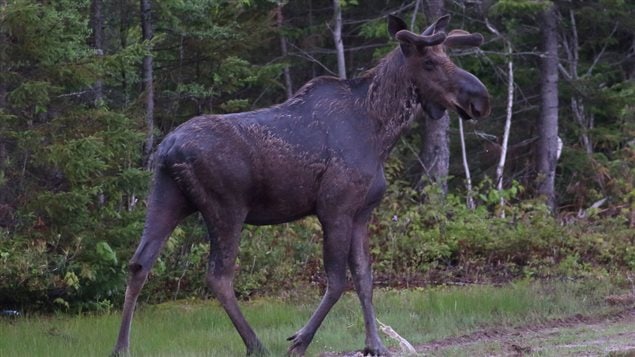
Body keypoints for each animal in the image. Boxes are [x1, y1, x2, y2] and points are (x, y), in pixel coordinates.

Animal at [113, 14, 492, 356]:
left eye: (449, 57)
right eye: (429, 62)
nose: (480, 98)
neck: (382, 133)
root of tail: (167, 149)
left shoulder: (362, 212)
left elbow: (365, 278)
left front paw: (376, 345)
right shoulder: (334, 207)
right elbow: (338, 281)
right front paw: (300, 340)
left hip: (167, 198)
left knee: (139, 264)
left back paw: (122, 347)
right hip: (226, 207)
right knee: (219, 276)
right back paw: (256, 344)